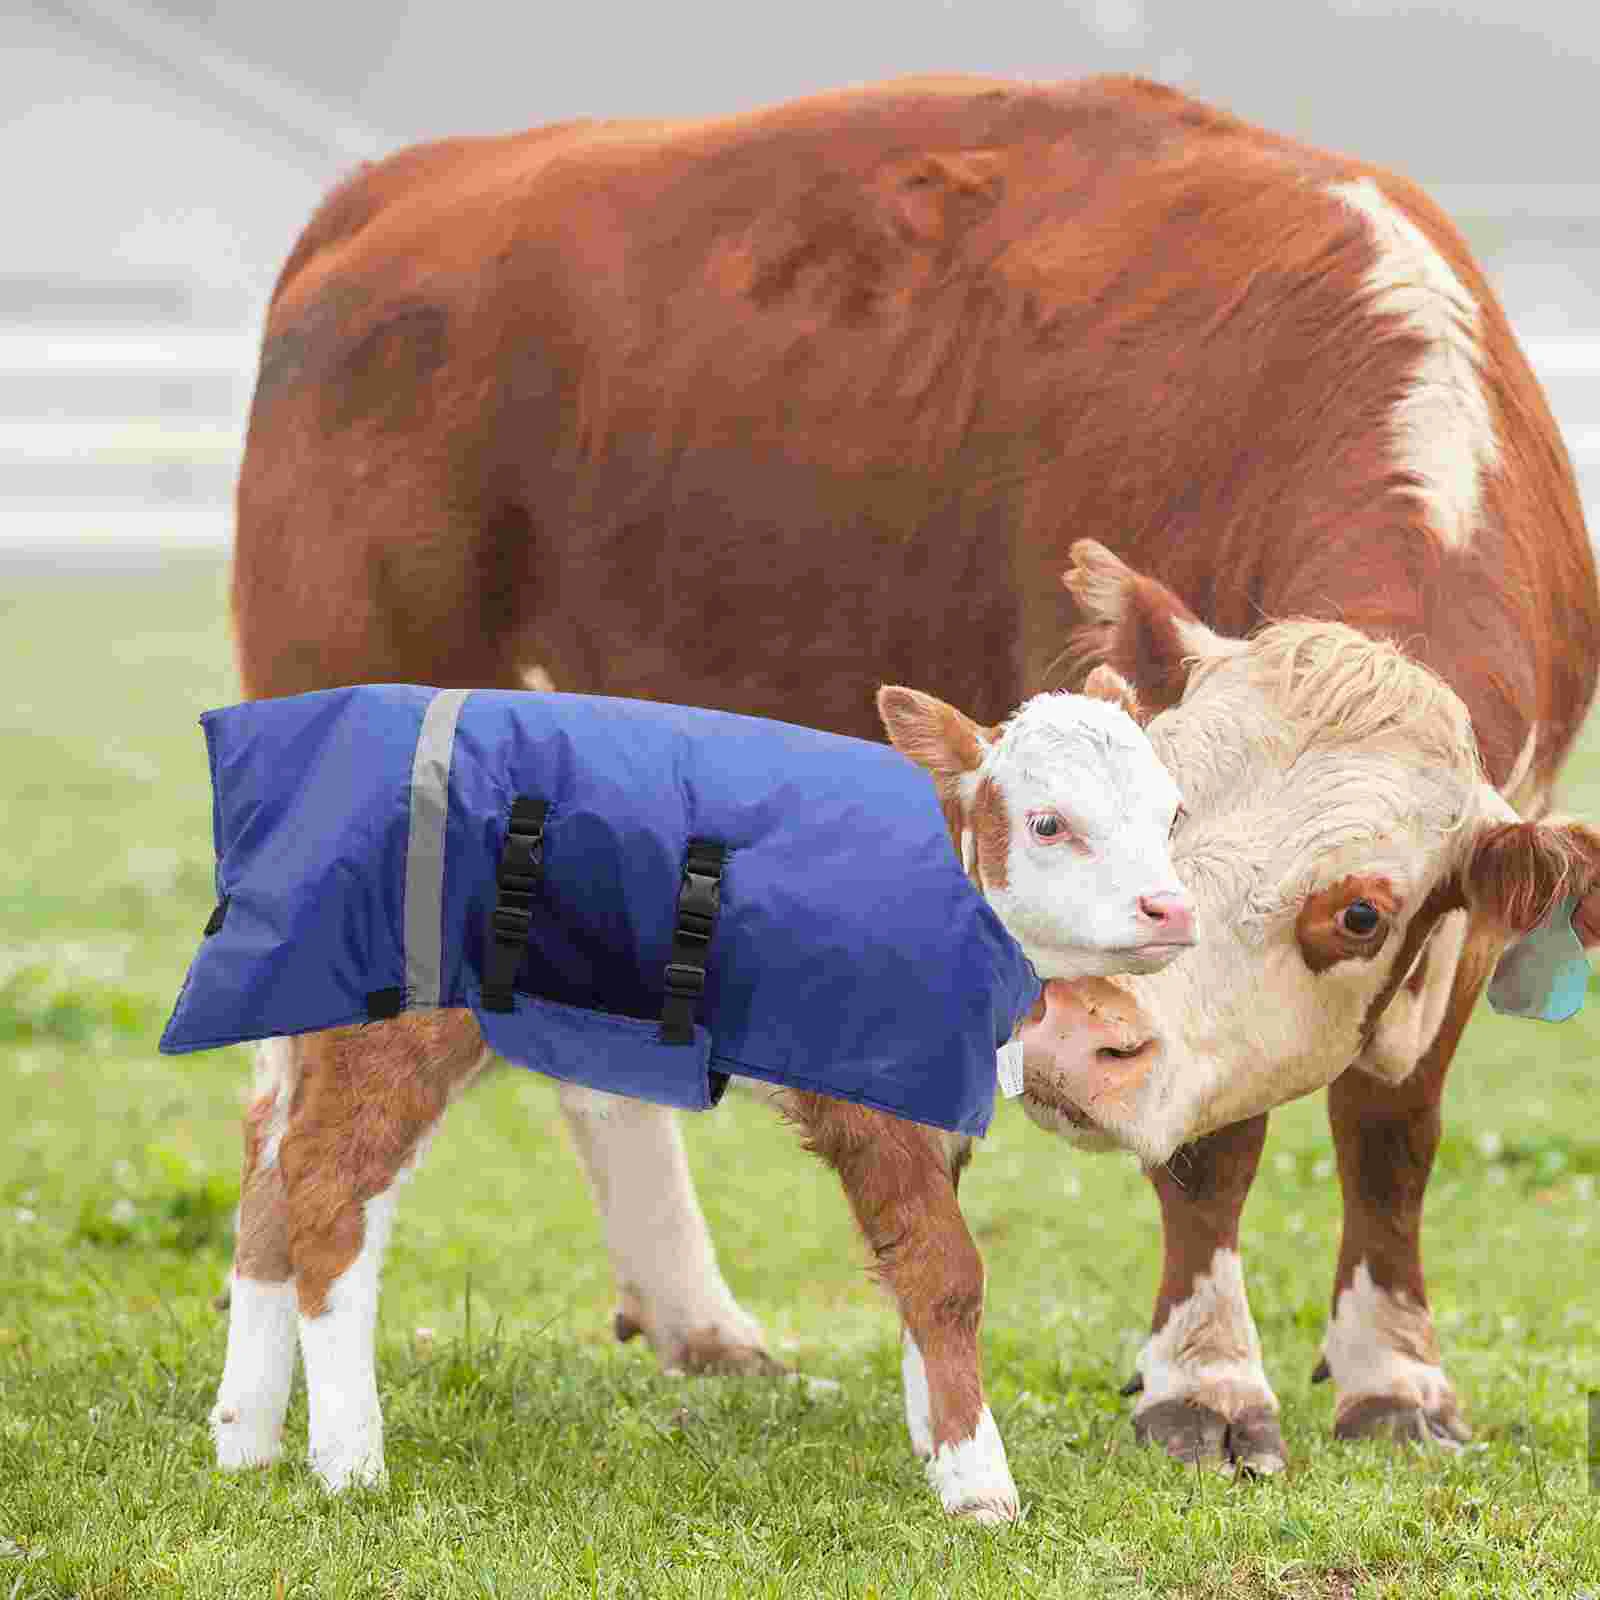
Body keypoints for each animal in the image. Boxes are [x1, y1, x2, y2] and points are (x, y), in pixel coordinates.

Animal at [226, 72, 1598, 1490]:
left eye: (1360, 911)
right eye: (1107, 822)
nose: (1075, 1048)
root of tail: (403, 184)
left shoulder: (1470, 911)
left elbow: (1393, 1131)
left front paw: (1396, 1376)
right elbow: (1208, 1148)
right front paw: (1206, 1381)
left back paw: (696, 1323)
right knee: (291, 1105)